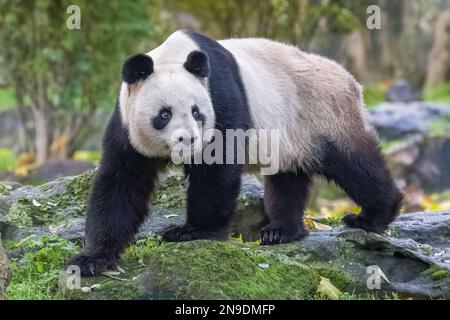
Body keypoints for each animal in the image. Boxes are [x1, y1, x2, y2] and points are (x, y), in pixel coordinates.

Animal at [67, 28, 400, 276]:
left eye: (197, 112)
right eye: (164, 114)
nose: (189, 140)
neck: (173, 57)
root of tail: (352, 80)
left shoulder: (220, 95)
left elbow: (217, 166)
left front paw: (192, 231)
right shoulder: (126, 124)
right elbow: (121, 183)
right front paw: (91, 259)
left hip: (324, 112)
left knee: (353, 163)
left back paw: (372, 216)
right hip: (291, 131)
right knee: (287, 177)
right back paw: (282, 231)